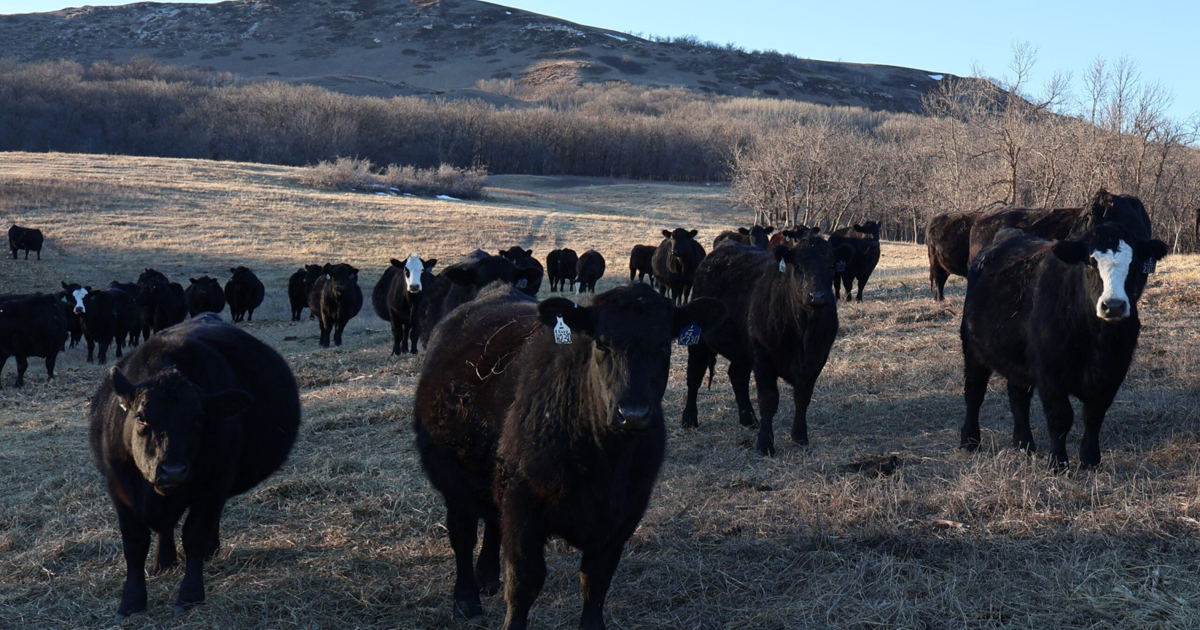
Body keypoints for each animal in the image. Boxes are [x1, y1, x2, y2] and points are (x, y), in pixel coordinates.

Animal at [88, 314, 300, 619]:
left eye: (199, 419)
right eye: (141, 417)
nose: (173, 471)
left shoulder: (215, 483)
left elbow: (195, 535)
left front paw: (189, 595)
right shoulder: (120, 492)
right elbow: (135, 544)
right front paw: (131, 601)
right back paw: (163, 561)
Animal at [412, 283, 720, 624]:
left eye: (664, 344)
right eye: (601, 343)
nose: (633, 414)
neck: (605, 462)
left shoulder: (626, 512)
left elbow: (596, 580)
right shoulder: (522, 506)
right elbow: (524, 583)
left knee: (491, 521)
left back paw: (488, 576)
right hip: (453, 479)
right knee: (462, 535)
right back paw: (466, 599)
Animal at [681, 232, 840, 453]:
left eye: (831, 266)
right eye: (798, 267)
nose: (816, 297)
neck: (804, 336)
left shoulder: (817, 359)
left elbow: (803, 397)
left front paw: (800, 437)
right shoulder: (764, 357)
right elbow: (768, 400)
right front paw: (765, 444)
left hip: (742, 347)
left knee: (737, 375)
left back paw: (748, 419)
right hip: (699, 341)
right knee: (694, 376)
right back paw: (689, 419)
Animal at [955, 218, 1161, 463]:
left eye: (1135, 264)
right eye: (1090, 263)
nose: (1113, 306)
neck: (1098, 342)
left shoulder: (1114, 371)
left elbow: (1094, 415)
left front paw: (1090, 460)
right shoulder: (1049, 371)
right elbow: (1060, 417)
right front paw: (1058, 462)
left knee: (1018, 398)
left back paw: (1024, 444)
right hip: (972, 348)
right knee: (974, 393)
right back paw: (970, 441)